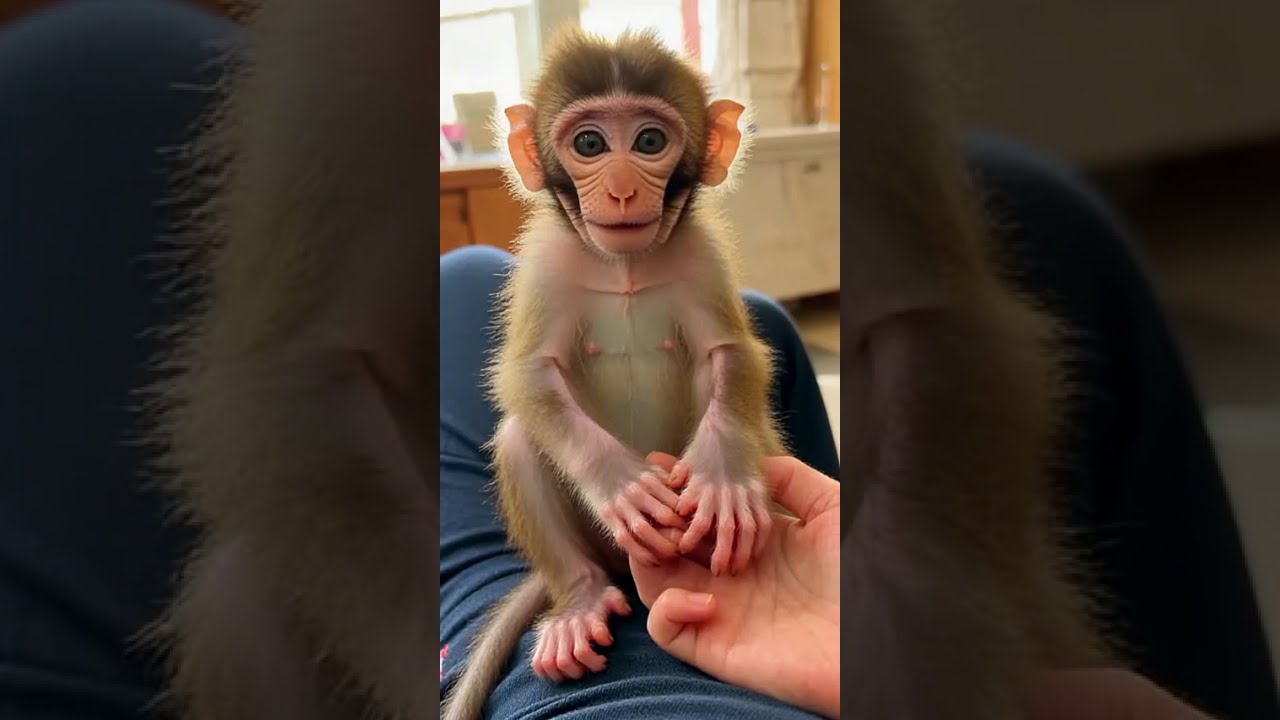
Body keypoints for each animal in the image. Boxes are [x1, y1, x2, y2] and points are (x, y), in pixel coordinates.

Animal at [440, 28, 787, 720]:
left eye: (650, 142)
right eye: (590, 145)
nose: (624, 190)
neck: (623, 266)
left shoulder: (702, 255)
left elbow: (734, 355)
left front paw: (722, 475)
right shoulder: (544, 261)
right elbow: (527, 377)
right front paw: (621, 485)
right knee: (520, 436)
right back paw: (580, 601)